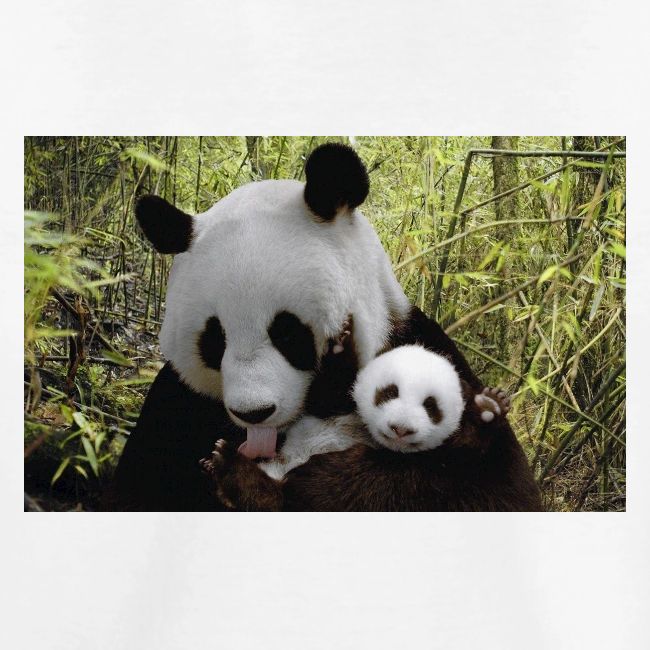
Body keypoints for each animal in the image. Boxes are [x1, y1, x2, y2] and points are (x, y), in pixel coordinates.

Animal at [107, 143, 540, 512]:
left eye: (288, 333)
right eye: (215, 340)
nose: (254, 413)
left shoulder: (421, 347)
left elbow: (490, 488)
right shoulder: (179, 402)